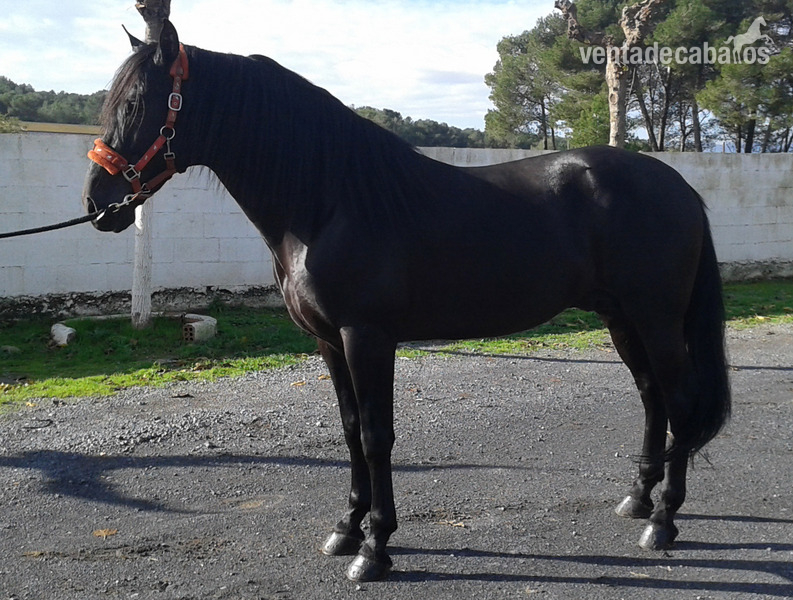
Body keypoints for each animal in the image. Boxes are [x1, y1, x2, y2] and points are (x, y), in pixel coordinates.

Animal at [82, 20, 731, 582]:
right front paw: (345, 529)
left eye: (137, 103)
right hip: (622, 318)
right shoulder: (329, 342)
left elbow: (376, 436)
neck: (330, 201)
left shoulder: (367, 338)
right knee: (652, 397)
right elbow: (349, 430)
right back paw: (637, 500)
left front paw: (374, 549)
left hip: (655, 318)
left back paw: (663, 521)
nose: (97, 203)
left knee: (680, 400)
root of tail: (680, 186)